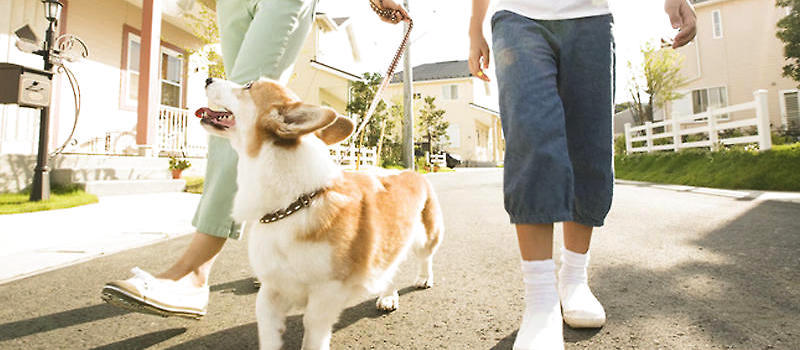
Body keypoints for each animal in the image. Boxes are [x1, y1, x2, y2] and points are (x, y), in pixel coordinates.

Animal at [195, 79, 444, 350]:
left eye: (249, 85)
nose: (208, 79)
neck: (292, 205)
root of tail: (409, 171)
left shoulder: (326, 293)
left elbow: (312, 331)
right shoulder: (271, 291)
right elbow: (268, 332)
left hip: (426, 236)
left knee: (425, 258)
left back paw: (423, 279)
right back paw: (387, 296)